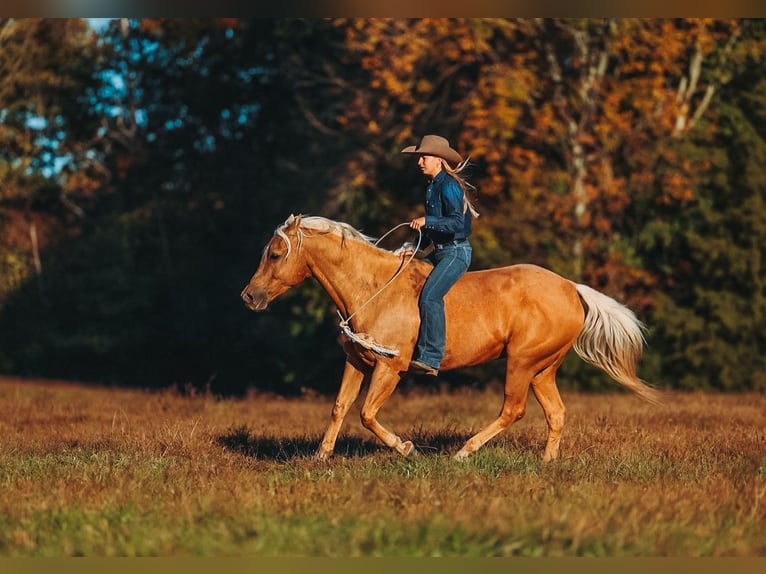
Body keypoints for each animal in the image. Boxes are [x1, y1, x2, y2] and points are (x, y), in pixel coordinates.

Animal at [240, 214, 662, 462]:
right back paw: (546, 462)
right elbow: (340, 408)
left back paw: (463, 453)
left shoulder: (390, 368)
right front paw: (321, 457)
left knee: (513, 410)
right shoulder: (357, 362)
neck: (373, 289)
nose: (249, 296)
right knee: (555, 413)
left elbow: (366, 414)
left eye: (275, 254)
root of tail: (572, 288)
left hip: (522, 363)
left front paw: (406, 448)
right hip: (543, 369)